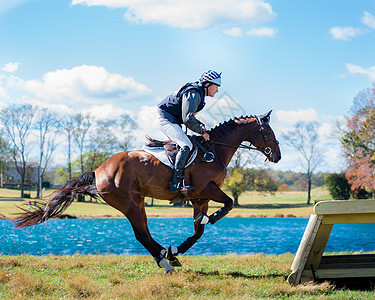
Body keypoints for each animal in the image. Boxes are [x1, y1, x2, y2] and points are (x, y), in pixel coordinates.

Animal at [13, 110, 280, 274]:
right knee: (141, 234)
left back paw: (165, 254)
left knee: (145, 232)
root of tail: (99, 169)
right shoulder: (206, 189)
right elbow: (229, 203)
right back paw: (164, 262)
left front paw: (177, 249)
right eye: (269, 133)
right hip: (128, 203)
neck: (214, 150)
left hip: (138, 202)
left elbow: (198, 232)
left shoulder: (200, 198)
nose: (278, 156)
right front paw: (211, 218)